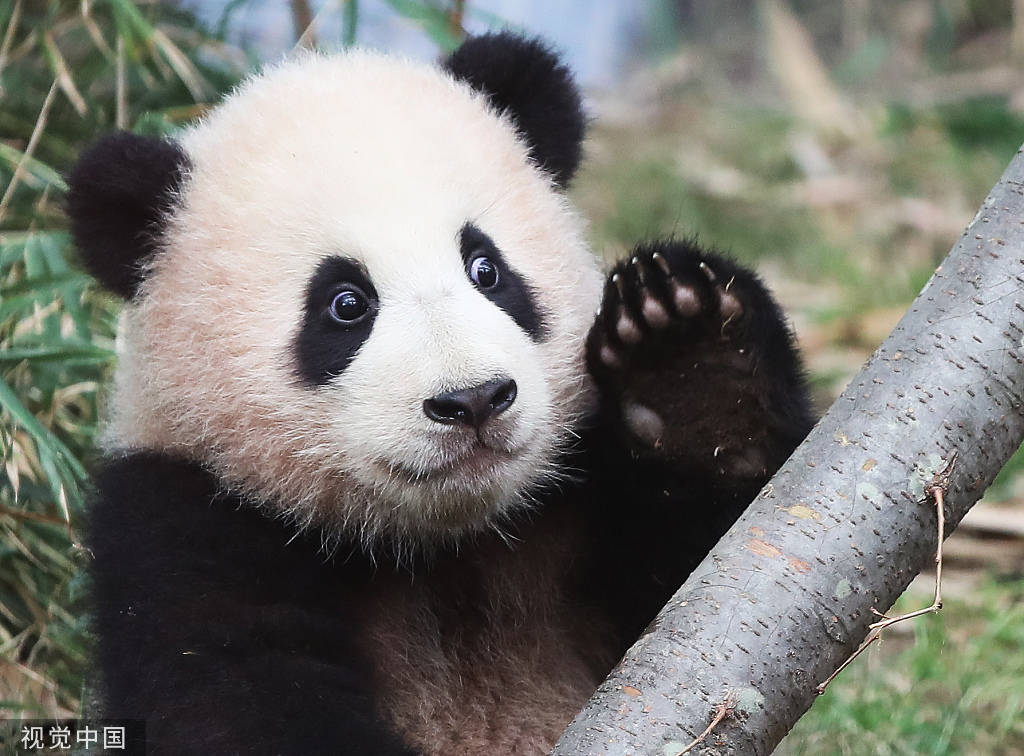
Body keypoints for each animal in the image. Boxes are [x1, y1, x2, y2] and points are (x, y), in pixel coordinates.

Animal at [68, 30, 811, 753]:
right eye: (345, 304)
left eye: (486, 269)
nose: (474, 399)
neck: (441, 546)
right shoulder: (181, 520)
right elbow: (235, 697)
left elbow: (698, 595)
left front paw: (689, 363)